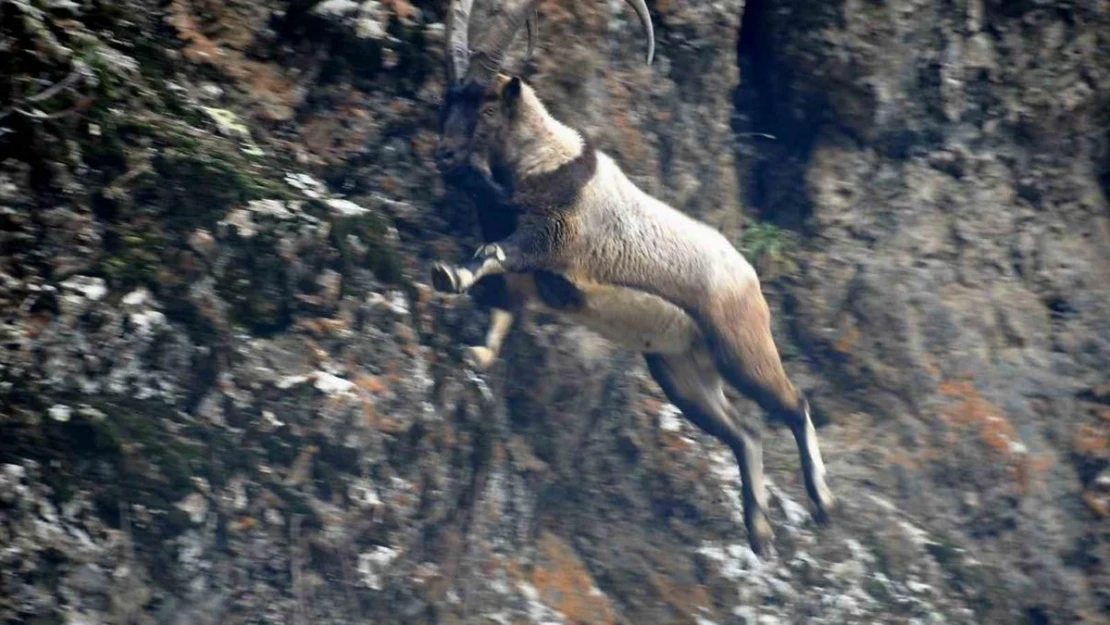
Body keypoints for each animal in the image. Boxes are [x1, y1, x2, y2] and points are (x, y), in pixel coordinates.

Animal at [430, 0, 834, 557]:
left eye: (488, 107)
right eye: (449, 98)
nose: (445, 154)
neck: (546, 164)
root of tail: (748, 276)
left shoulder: (551, 236)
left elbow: (494, 254)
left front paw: (447, 274)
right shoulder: (527, 274)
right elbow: (504, 308)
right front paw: (479, 354)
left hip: (739, 344)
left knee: (793, 403)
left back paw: (822, 503)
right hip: (679, 369)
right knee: (743, 434)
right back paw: (759, 533)